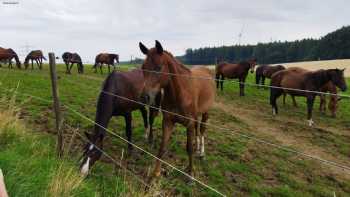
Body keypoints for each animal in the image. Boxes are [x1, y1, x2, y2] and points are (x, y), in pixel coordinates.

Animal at [138, 40, 215, 179]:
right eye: (143, 68)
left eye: (158, 67)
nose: (144, 97)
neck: (180, 93)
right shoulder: (168, 121)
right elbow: (162, 147)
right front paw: (156, 172)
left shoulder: (189, 123)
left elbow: (189, 148)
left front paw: (190, 174)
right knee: (198, 129)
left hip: (206, 112)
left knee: (202, 130)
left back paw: (201, 153)